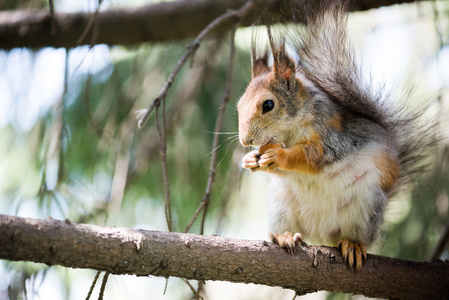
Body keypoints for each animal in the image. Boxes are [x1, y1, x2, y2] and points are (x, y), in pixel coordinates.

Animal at [236, 1, 436, 270]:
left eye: (268, 105)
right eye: (238, 107)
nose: (245, 140)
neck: (289, 133)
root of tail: (321, 233)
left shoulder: (332, 136)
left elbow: (314, 157)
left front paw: (280, 156)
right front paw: (249, 160)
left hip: (367, 204)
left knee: (356, 234)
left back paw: (353, 245)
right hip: (281, 203)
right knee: (292, 227)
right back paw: (284, 235)